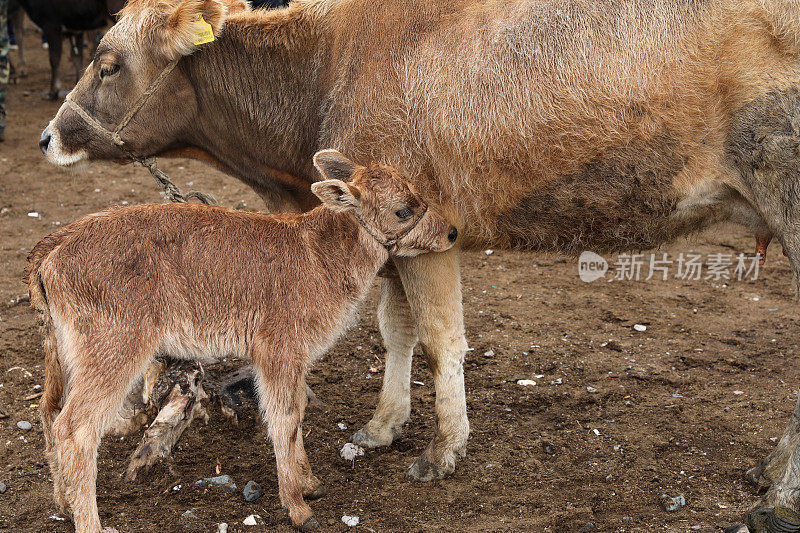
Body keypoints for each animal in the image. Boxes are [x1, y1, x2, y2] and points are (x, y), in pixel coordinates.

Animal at [23, 150, 456, 532]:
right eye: (403, 210)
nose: (451, 231)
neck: (322, 256)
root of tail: (53, 246)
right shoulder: (277, 347)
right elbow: (283, 418)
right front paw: (298, 508)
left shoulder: (294, 356)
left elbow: (297, 412)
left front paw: (310, 484)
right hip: (114, 347)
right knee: (74, 427)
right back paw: (90, 523)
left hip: (66, 352)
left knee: (49, 410)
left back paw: (63, 502)